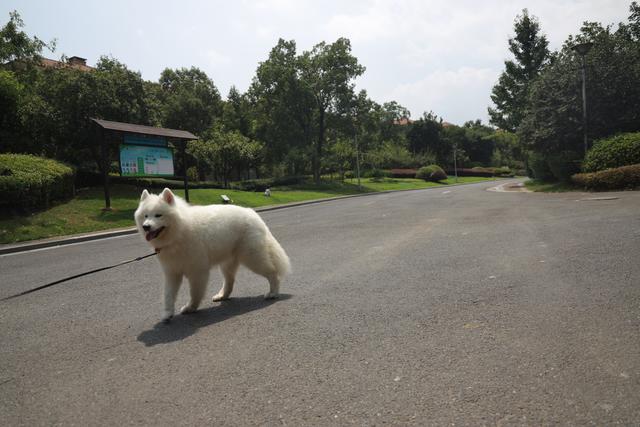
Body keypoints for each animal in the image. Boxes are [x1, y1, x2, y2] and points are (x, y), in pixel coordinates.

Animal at [135, 189, 290, 322]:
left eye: (158, 215)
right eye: (145, 216)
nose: (146, 226)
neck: (179, 232)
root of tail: (253, 213)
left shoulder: (197, 272)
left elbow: (194, 293)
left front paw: (190, 308)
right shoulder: (172, 272)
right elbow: (168, 295)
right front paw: (167, 313)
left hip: (252, 258)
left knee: (272, 273)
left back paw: (273, 293)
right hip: (228, 262)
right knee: (229, 282)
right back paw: (222, 296)